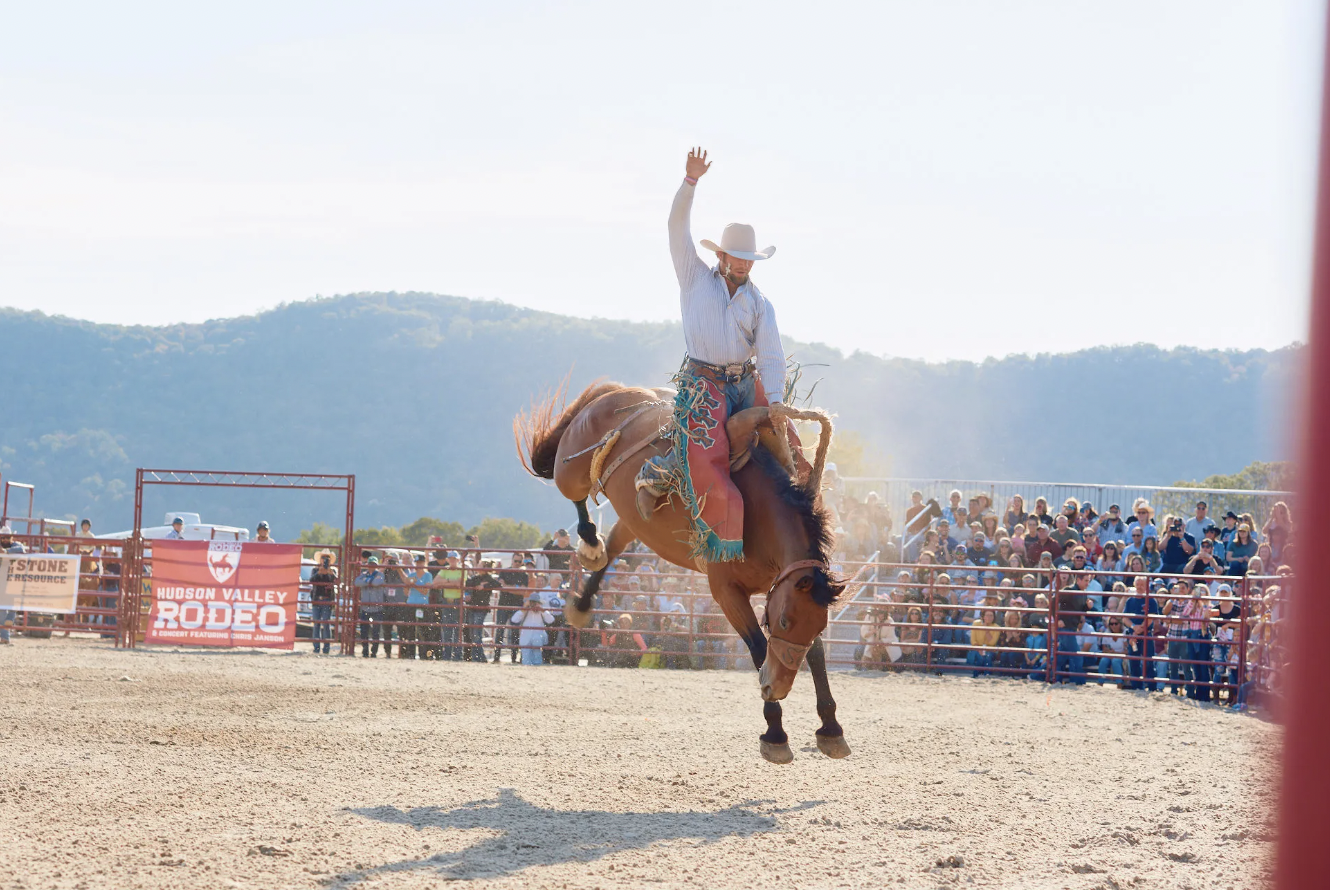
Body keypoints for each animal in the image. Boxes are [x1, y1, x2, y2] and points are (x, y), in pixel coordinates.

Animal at [513, 377, 845, 760]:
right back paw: (589, 542)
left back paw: (583, 599)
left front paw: (831, 728)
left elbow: (815, 652)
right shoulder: (726, 592)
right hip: (571, 470)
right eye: (786, 622)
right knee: (576, 494)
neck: (757, 512)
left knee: (614, 547)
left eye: (816, 623)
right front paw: (775, 734)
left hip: (633, 520)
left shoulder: (784, 591)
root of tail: (613, 392)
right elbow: (760, 649)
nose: (775, 688)